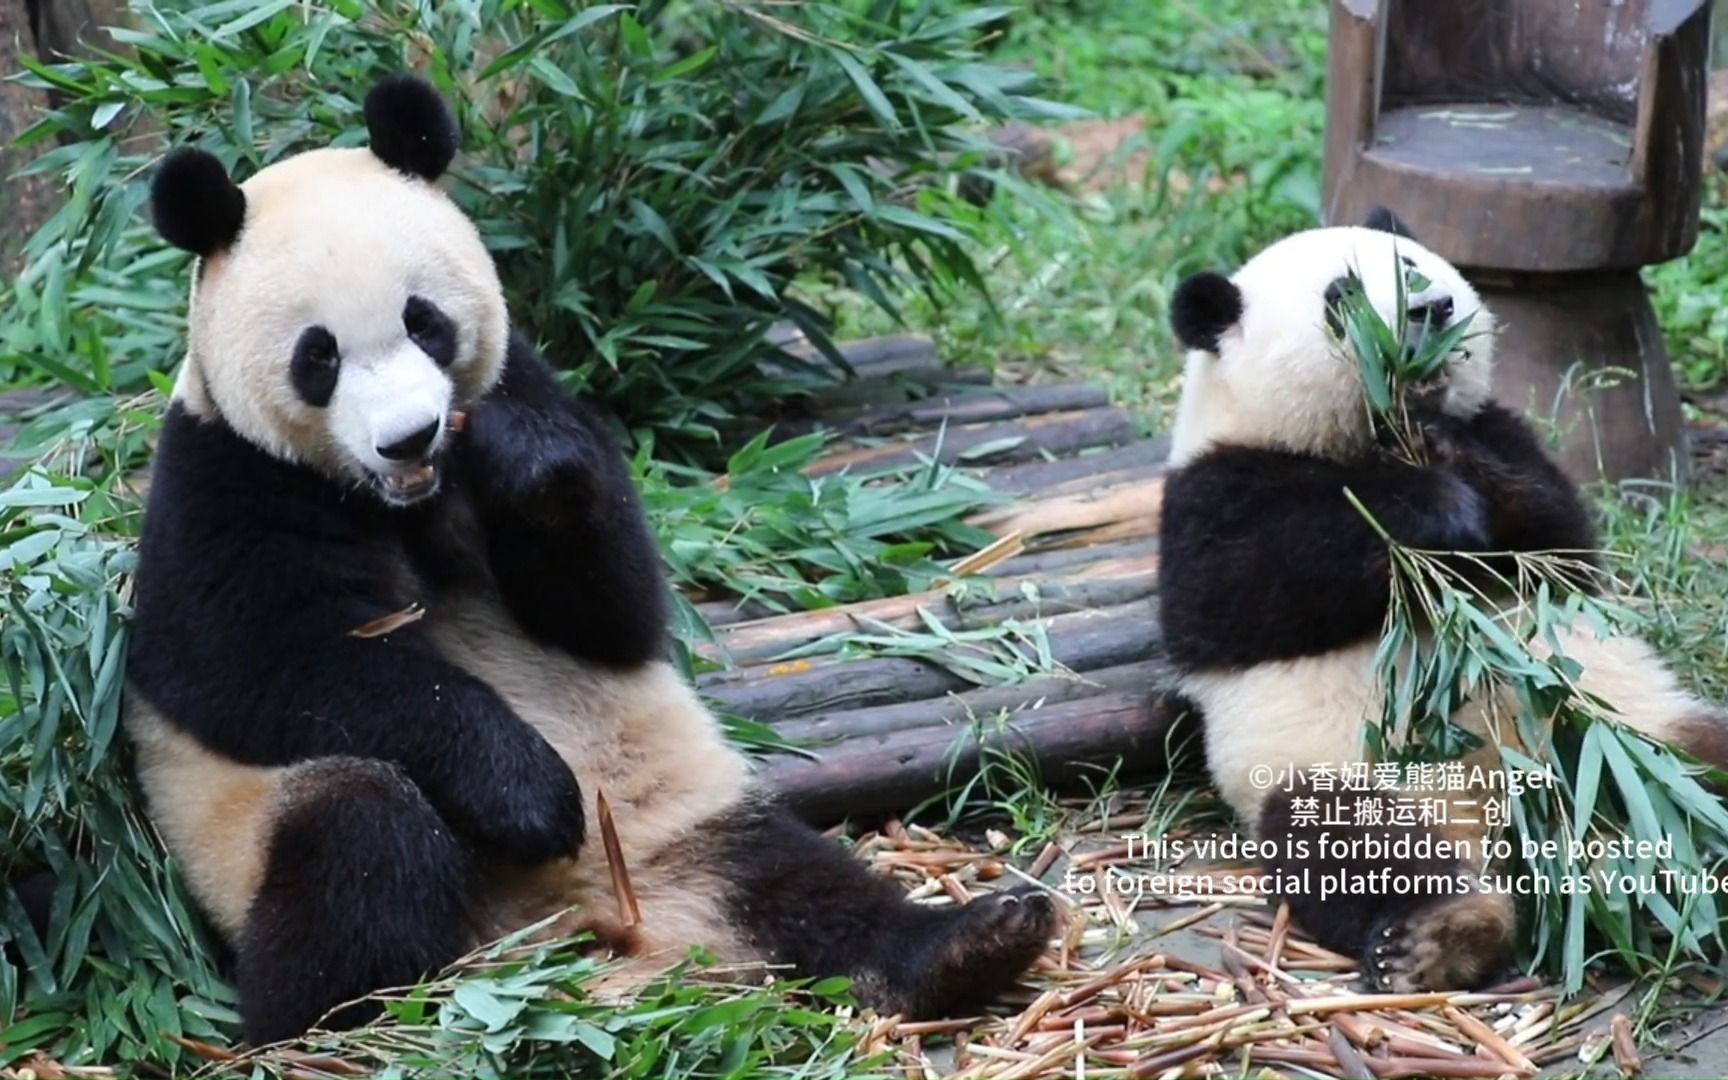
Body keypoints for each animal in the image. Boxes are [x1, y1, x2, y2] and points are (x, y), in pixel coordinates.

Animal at [121, 69, 1057, 1043]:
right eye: (319, 356)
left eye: (425, 323)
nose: (409, 436)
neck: (403, 501)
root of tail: (576, 928)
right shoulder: (223, 478)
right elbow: (259, 666)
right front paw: (528, 795)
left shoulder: (528, 389)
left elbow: (616, 610)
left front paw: (525, 463)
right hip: (263, 846)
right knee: (361, 831)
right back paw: (347, 1010)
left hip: (687, 821)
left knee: (800, 881)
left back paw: (973, 940)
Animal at [1147, 210, 1728, 995]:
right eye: (1343, 294)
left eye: (1413, 269)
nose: (1433, 310)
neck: (1365, 439)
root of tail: (1516, 818)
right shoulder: (1209, 491)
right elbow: (1237, 590)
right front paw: (1432, 507)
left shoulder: (1503, 432)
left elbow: (1560, 544)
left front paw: (1452, 460)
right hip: (1348, 772)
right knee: (1351, 845)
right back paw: (1442, 935)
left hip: (1637, 726)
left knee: (1703, 757)